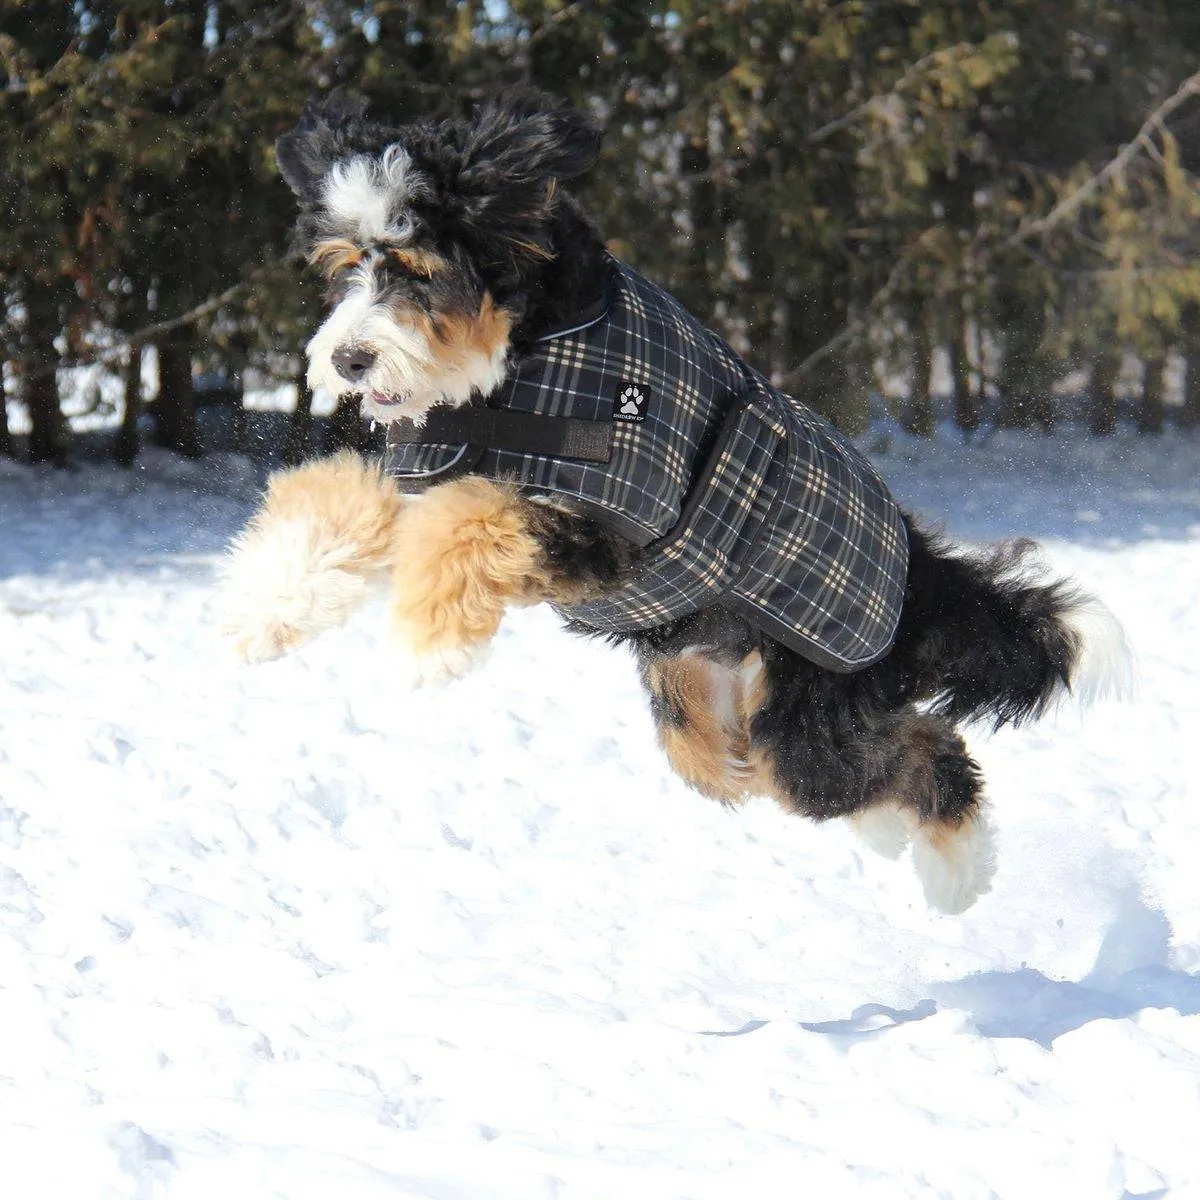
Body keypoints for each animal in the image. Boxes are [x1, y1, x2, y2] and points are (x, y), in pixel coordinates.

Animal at [220, 88, 1128, 912]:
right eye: (345, 267)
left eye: (418, 271)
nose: (349, 360)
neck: (523, 358)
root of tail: (917, 580)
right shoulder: (437, 465)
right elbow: (342, 502)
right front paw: (268, 608)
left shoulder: (599, 519)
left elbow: (471, 520)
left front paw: (430, 646)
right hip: (712, 698)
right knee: (813, 764)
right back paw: (893, 838)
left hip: (809, 704)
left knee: (917, 753)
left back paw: (956, 875)